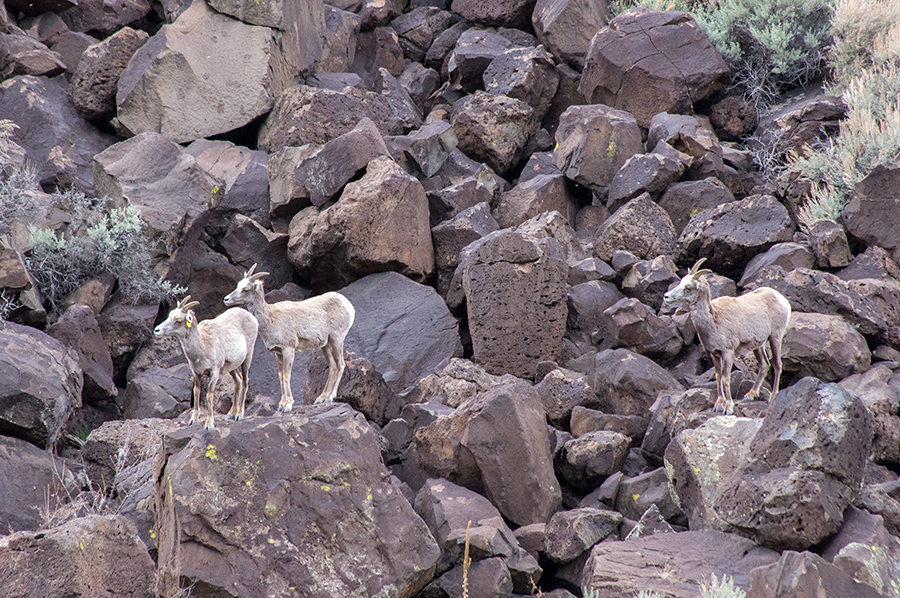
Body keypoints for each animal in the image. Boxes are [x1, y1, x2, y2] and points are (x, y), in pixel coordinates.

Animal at [153, 296, 258, 432]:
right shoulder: (196, 372)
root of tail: (252, 317)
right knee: (238, 381)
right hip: (231, 367)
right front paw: (193, 420)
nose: (157, 330)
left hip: (248, 357)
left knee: (245, 381)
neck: (203, 346)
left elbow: (209, 395)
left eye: (178, 320)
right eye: (169, 315)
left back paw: (239, 415)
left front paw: (209, 424)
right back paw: (231, 414)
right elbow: (196, 392)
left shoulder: (214, 372)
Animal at [221, 268, 356, 412]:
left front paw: (287, 405)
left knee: (340, 364)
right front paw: (281, 404)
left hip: (337, 339)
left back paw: (330, 397)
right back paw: (321, 398)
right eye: (238, 286)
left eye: (245, 289)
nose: (226, 299)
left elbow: (287, 375)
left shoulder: (288, 350)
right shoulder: (278, 353)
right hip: (326, 345)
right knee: (333, 366)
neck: (271, 319)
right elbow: (281, 376)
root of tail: (348, 305)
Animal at [656, 258, 792, 418]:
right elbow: (718, 376)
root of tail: (783, 300)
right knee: (764, 365)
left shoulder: (728, 353)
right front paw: (718, 405)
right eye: (681, 282)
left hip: (775, 337)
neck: (712, 322)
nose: (666, 296)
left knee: (777, 364)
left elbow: (726, 378)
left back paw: (772, 397)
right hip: (758, 345)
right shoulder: (714, 354)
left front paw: (728, 407)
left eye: (688, 287)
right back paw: (750, 395)